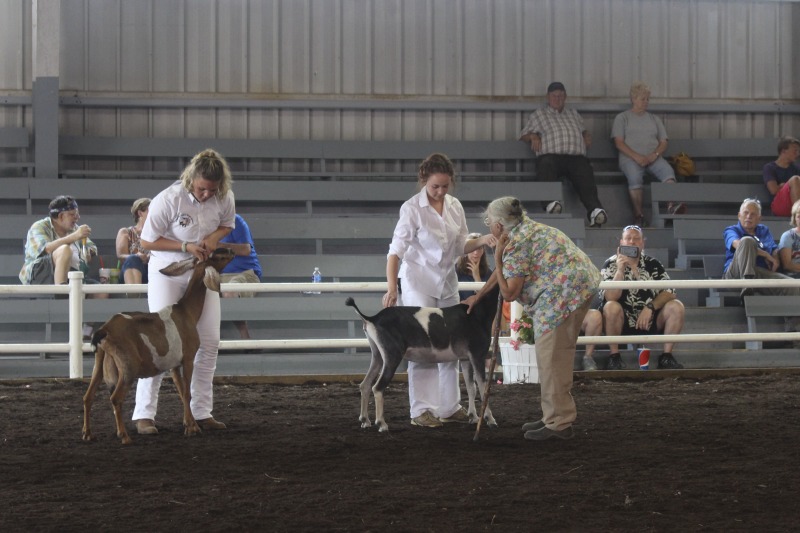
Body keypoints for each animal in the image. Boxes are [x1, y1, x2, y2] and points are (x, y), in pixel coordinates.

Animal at [83, 248, 234, 444]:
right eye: (219, 256)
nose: (232, 250)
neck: (187, 312)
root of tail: (105, 330)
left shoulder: (174, 365)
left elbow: (181, 392)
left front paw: (189, 424)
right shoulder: (188, 357)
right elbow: (187, 392)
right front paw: (192, 429)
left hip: (100, 361)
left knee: (88, 396)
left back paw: (88, 433)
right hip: (128, 366)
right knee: (115, 398)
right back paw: (124, 436)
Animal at [346, 284, 500, 430]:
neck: (477, 313)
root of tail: (372, 318)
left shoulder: (466, 359)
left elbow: (471, 387)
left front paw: (473, 417)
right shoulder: (477, 355)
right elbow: (483, 388)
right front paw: (490, 420)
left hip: (377, 356)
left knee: (365, 385)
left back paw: (365, 421)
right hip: (392, 356)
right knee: (377, 387)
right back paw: (382, 424)